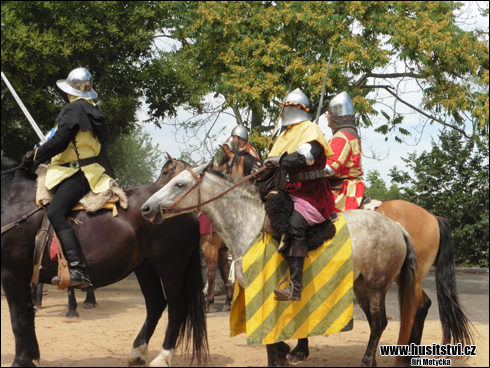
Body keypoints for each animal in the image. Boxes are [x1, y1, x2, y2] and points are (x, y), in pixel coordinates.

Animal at [0, 157, 207, 366]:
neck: (13, 202)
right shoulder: (23, 277)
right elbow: (28, 317)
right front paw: (31, 358)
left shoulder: (12, 275)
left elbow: (19, 320)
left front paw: (20, 360)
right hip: (146, 268)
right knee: (156, 304)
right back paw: (138, 351)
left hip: (170, 267)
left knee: (177, 307)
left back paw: (162, 357)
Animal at [156, 154, 234, 312]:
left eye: (165, 172)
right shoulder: (222, 250)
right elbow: (225, 273)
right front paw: (227, 302)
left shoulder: (210, 247)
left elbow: (211, 273)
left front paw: (208, 303)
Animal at [219, 147, 474, 366]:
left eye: (223, 164)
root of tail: (432, 217)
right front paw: (294, 349)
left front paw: (295, 350)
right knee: (414, 307)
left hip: (404, 277)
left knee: (414, 307)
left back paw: (402, 356)